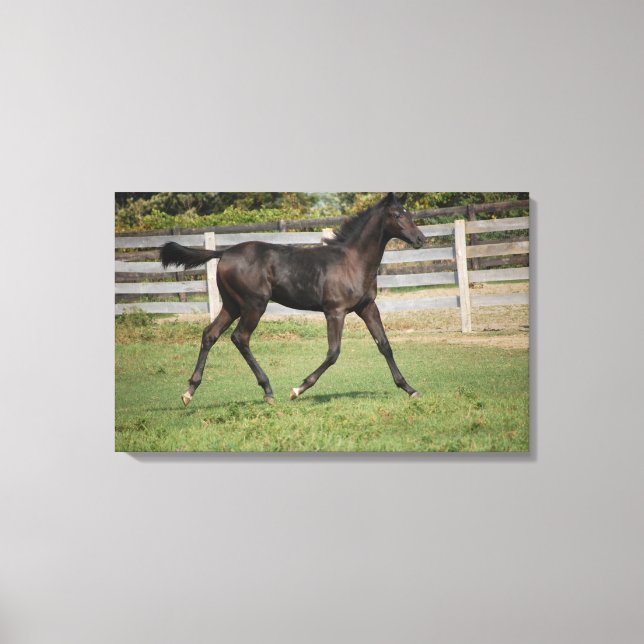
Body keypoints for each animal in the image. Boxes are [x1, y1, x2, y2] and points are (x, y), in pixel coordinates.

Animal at [160, 192, 426, 406]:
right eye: (397, 215)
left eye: (409, 213)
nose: (420, 239)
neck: (352, 261)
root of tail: (223, 252)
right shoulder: (335, 311)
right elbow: (333, 352)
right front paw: (298, 389)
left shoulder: (367, 307)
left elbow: (385, 345)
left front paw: (410, 389)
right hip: (254, 305)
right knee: (240, 338)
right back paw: (268, 390)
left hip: (232, 305)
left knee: (210, 334)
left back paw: (189, 391)